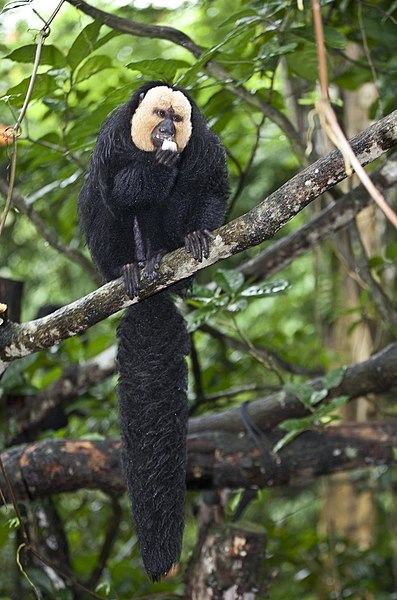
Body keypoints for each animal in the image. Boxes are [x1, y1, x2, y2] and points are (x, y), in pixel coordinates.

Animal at [77, 82, 227, 580]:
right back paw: (129, 267)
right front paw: (158, 164)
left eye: (177, 119)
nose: (166, 131)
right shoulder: (111, 139)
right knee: (99, 201)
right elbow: (112, 191)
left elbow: (210, 187)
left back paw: (171, 254)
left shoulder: (203, 147)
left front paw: (197, 233)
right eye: (160, 114)